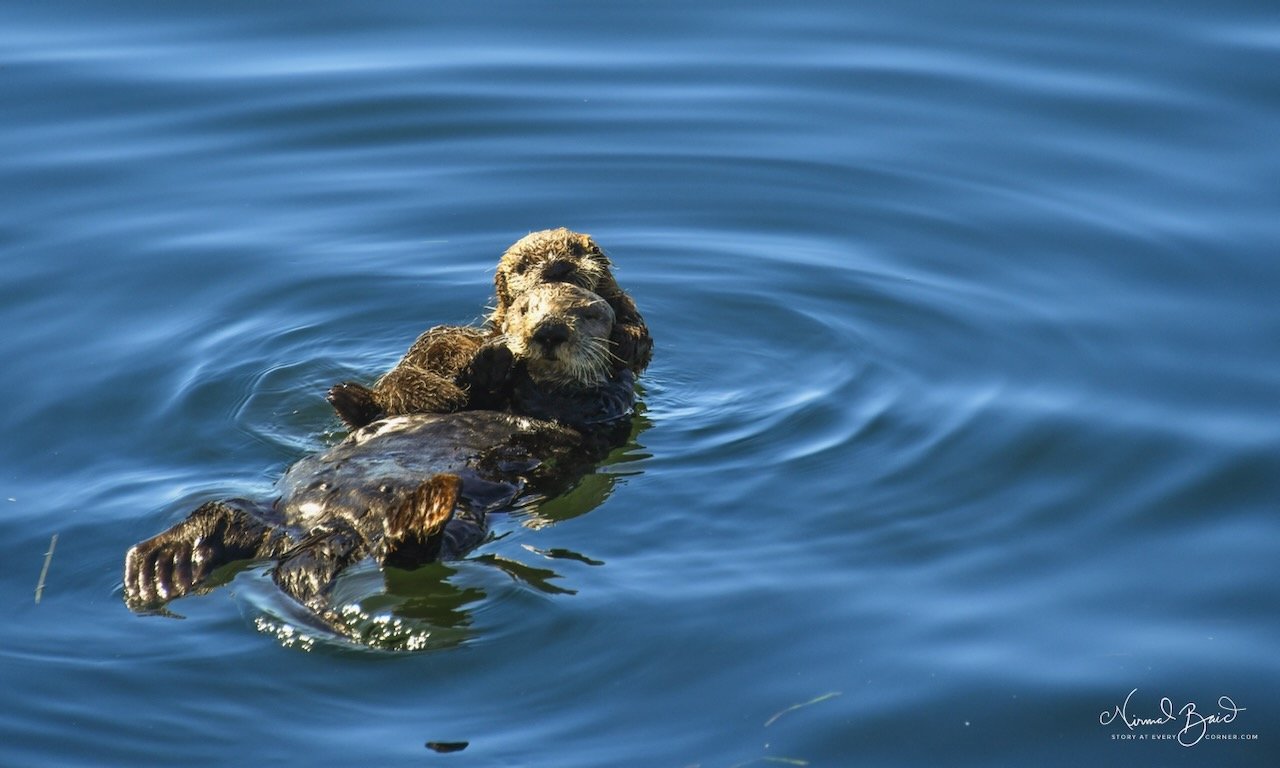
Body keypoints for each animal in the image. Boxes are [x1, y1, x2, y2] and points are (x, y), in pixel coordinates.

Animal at [124, 284, 638, 626]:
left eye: (588, 316)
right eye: (528, 307)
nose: (548, 332)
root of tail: (324, 531)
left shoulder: (604, 404)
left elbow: (569, 404)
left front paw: (501, 365)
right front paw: (489, 357)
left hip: (460, 523)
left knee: (407, 556)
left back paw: (424, 510)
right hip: (268, 511)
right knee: (222, 516)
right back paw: (158, 563)